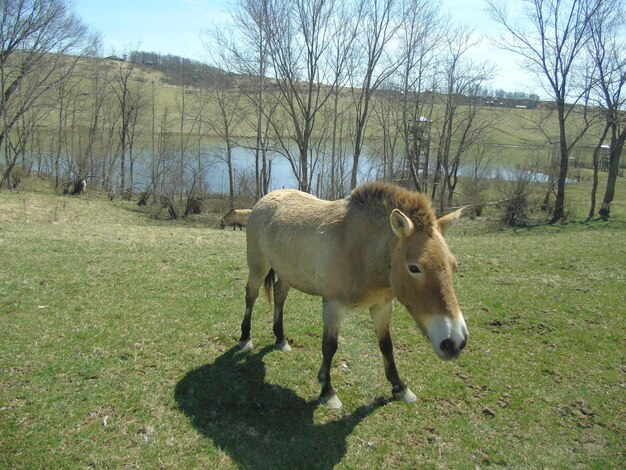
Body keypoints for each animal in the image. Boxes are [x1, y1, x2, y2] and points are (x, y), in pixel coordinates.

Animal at [236, 182, 466, 410]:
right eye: (414, 268)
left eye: (454, 265)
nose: (455, 342)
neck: (361, 248)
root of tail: (265, 199)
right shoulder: (332, 306)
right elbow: (329, 346)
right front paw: (327, 391)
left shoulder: (382, 307)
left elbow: (386, 346)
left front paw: (400, 387)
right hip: (258, 267)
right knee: (251, 296)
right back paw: (245, 339)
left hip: (286, 274)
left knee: (280, 296)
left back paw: (281, 339)